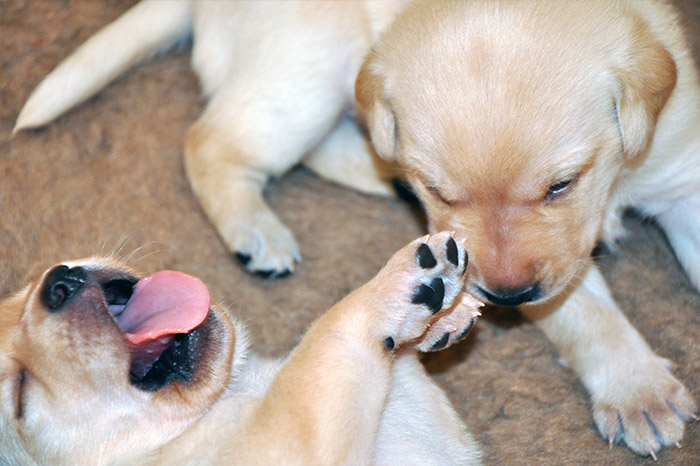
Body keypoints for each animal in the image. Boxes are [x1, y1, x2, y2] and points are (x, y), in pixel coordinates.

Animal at [0, 233, 482, 466]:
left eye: (22, 292)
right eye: (20, 395)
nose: (58, 282)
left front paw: (444, 317)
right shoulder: (285, 440)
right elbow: (327, 329)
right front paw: (399, 286)